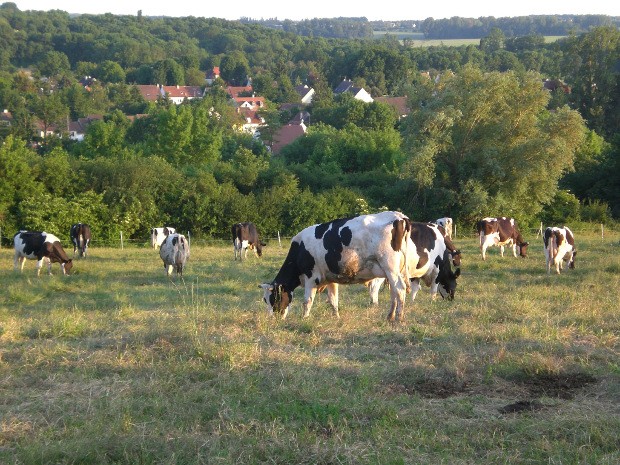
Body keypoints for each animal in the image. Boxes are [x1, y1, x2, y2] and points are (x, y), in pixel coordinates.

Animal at [260, 211, 414, 322]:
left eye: (274, 298)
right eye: (265, 300)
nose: (272, 319)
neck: (299, 250)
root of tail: (398, 216)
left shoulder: (311, 277)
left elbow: (307, 301)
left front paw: (304, 318)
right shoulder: (331, 278)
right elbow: (333, 300)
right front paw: (337, 317)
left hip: (390, 267)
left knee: (400, 289)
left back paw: (399, 318)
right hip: (394, 271)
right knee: (394, 291)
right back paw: (390, 316)